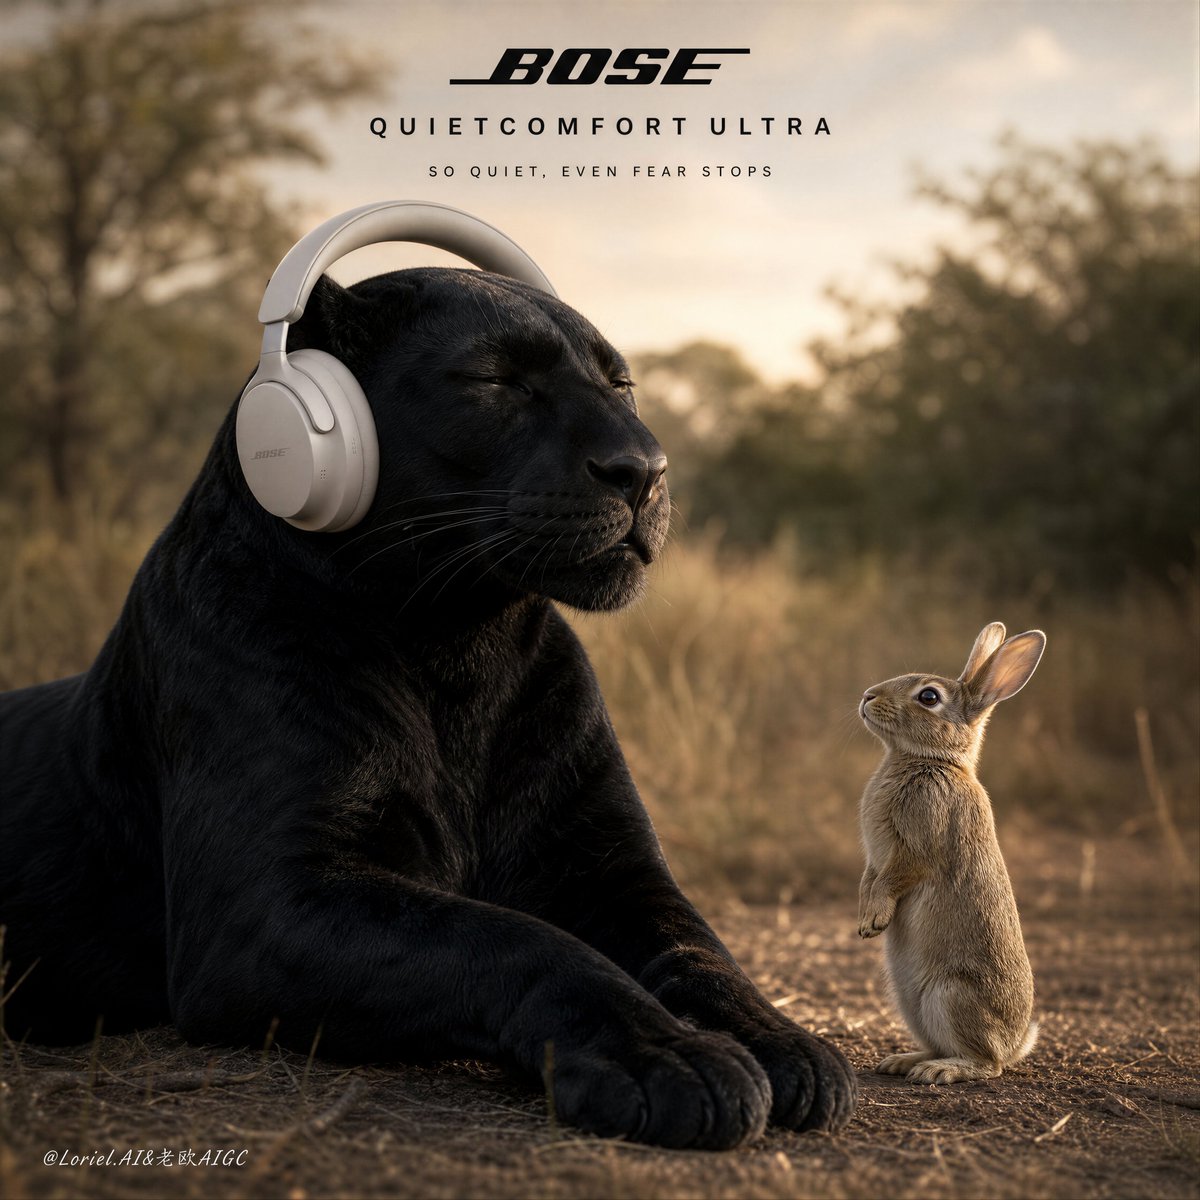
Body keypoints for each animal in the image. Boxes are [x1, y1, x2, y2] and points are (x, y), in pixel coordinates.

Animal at [856, 621, 1045, 1084]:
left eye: (928, 697)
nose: (868, 696)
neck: (928, 759)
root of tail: (1015, 1043)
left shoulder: (920, 844)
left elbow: (894, 877)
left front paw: (873, 921)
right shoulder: (874, 858)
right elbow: (870, 877)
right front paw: (865, 917)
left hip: (949, 996)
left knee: (988, 1064)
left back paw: (939, 1072)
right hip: (912, 1004)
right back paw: (903, 1061)